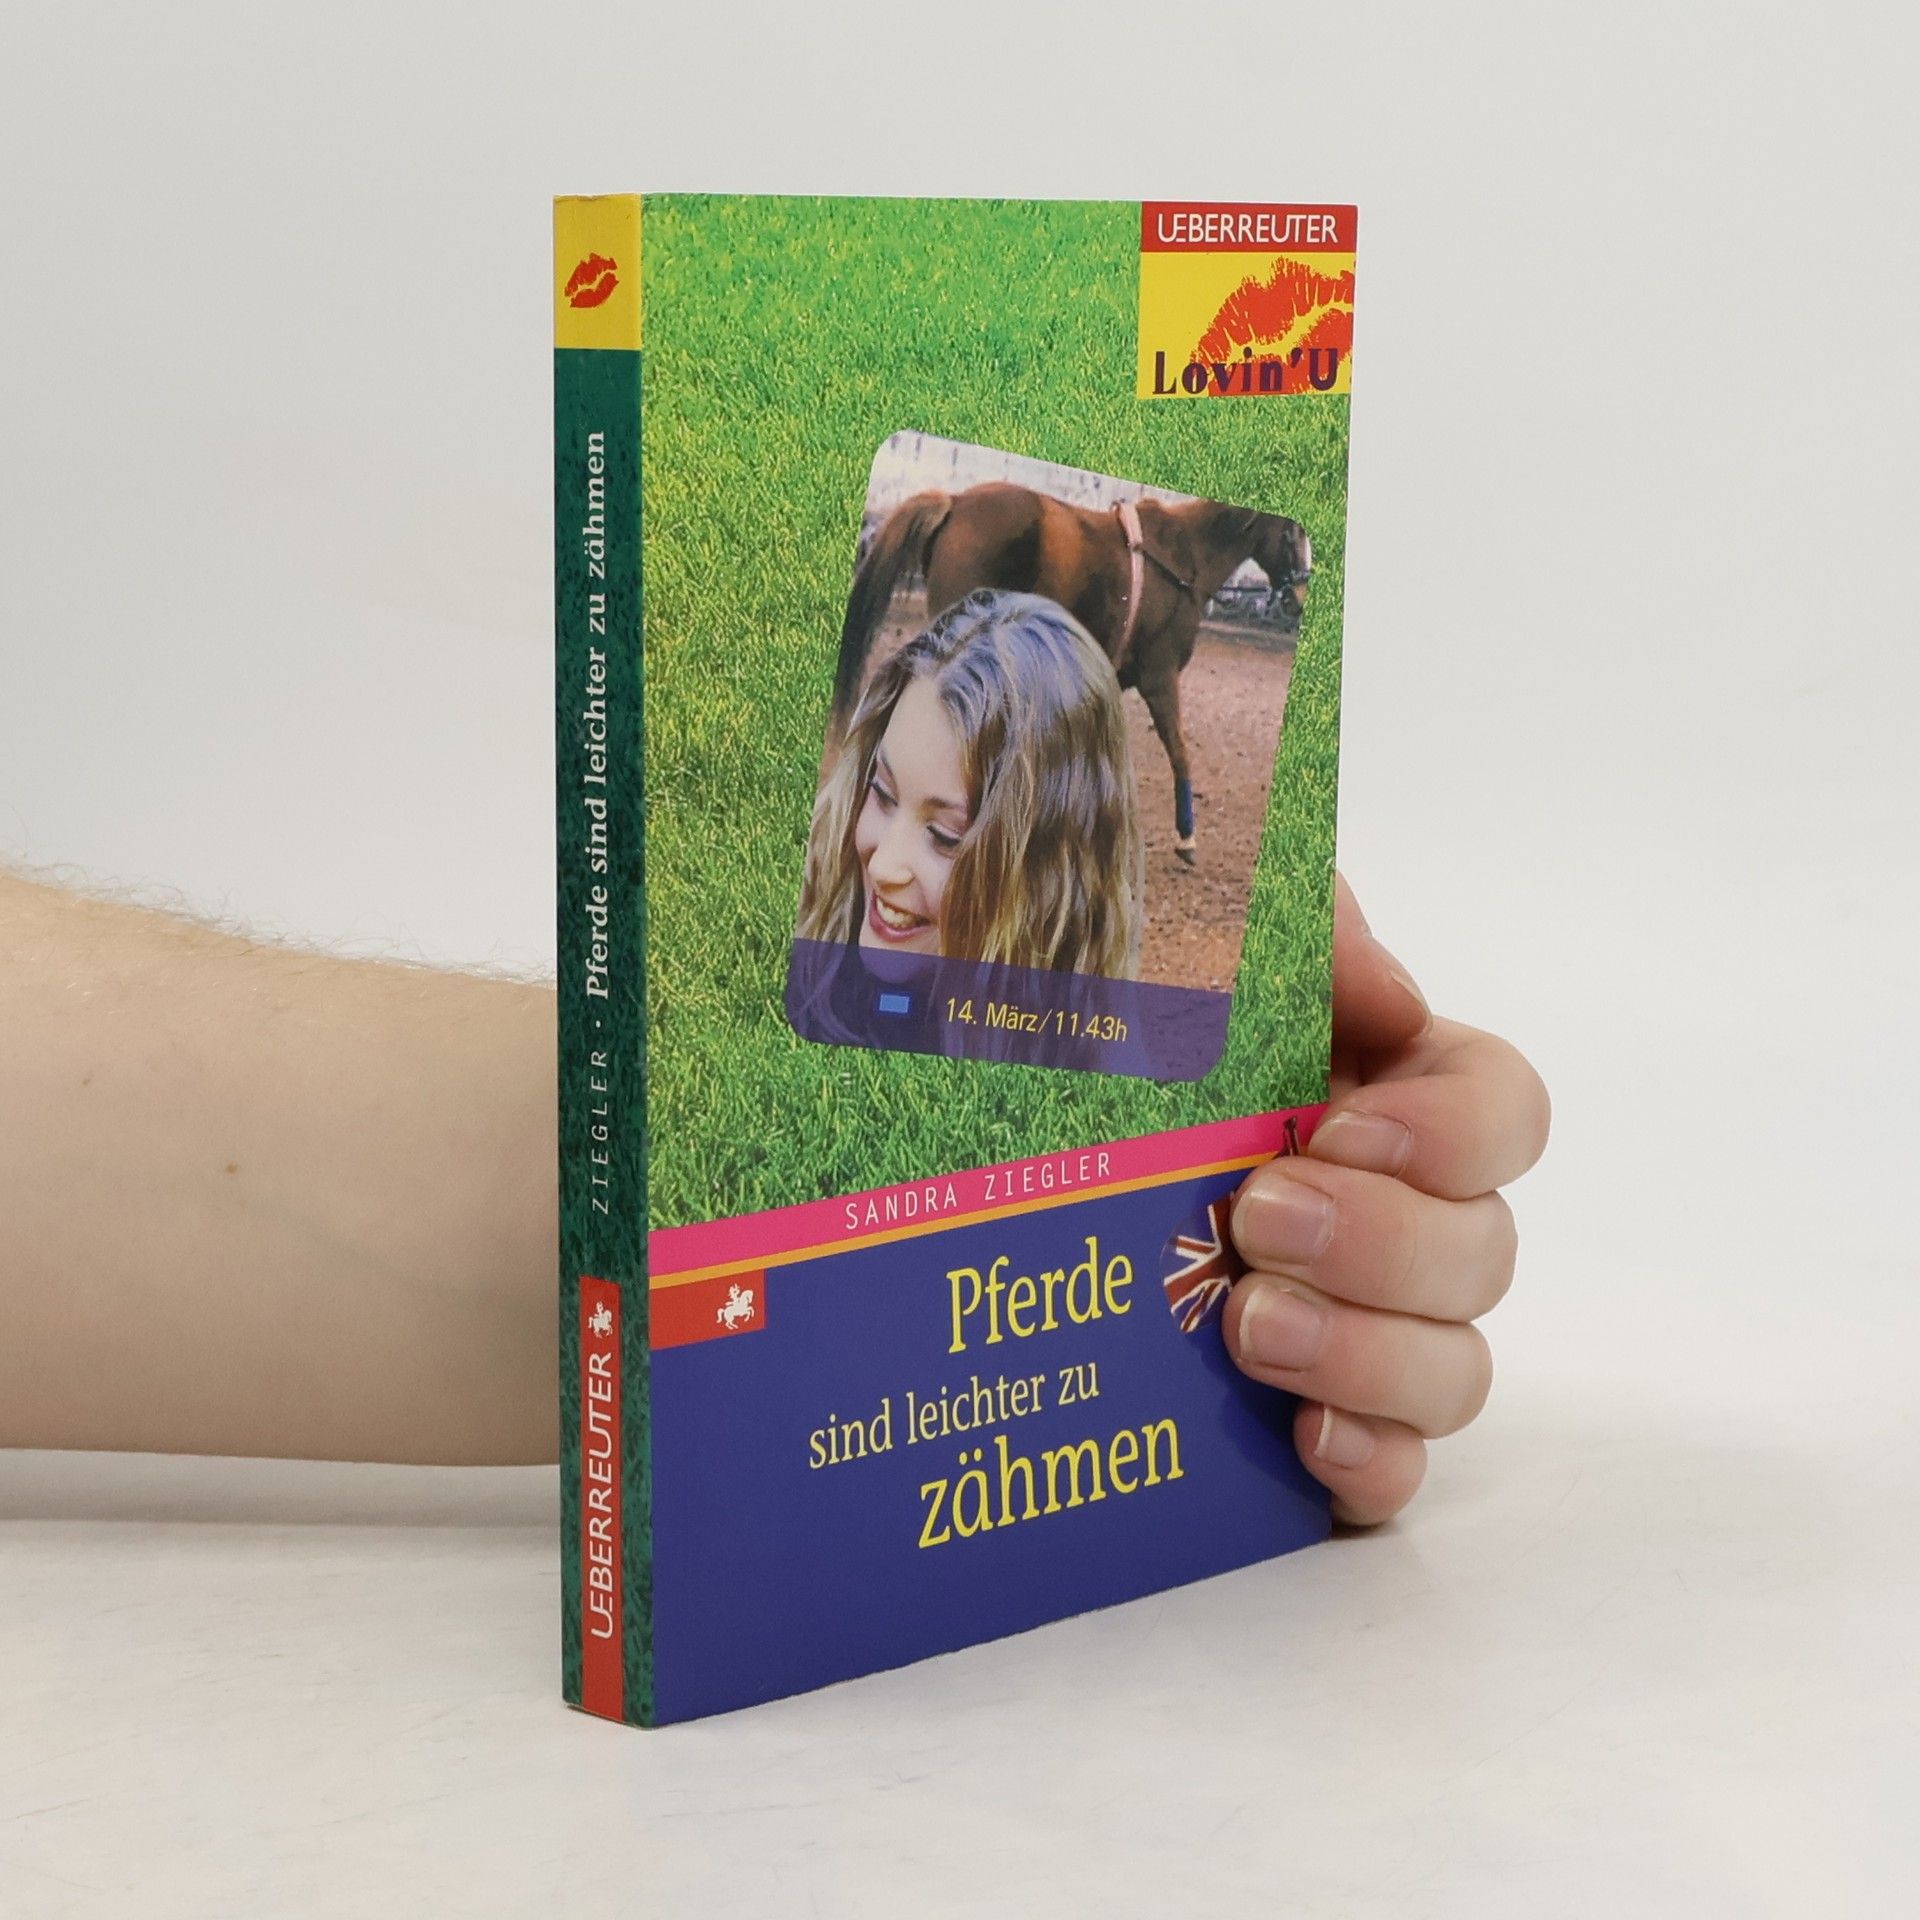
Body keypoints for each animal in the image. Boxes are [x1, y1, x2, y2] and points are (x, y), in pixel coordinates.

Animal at [829, 482, 1311, 863]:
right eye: (1292, 532)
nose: (1299, 599)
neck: (1180, 557)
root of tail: (956, 502)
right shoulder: (1160, 678)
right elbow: (1178, 752)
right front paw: (1186, 840)